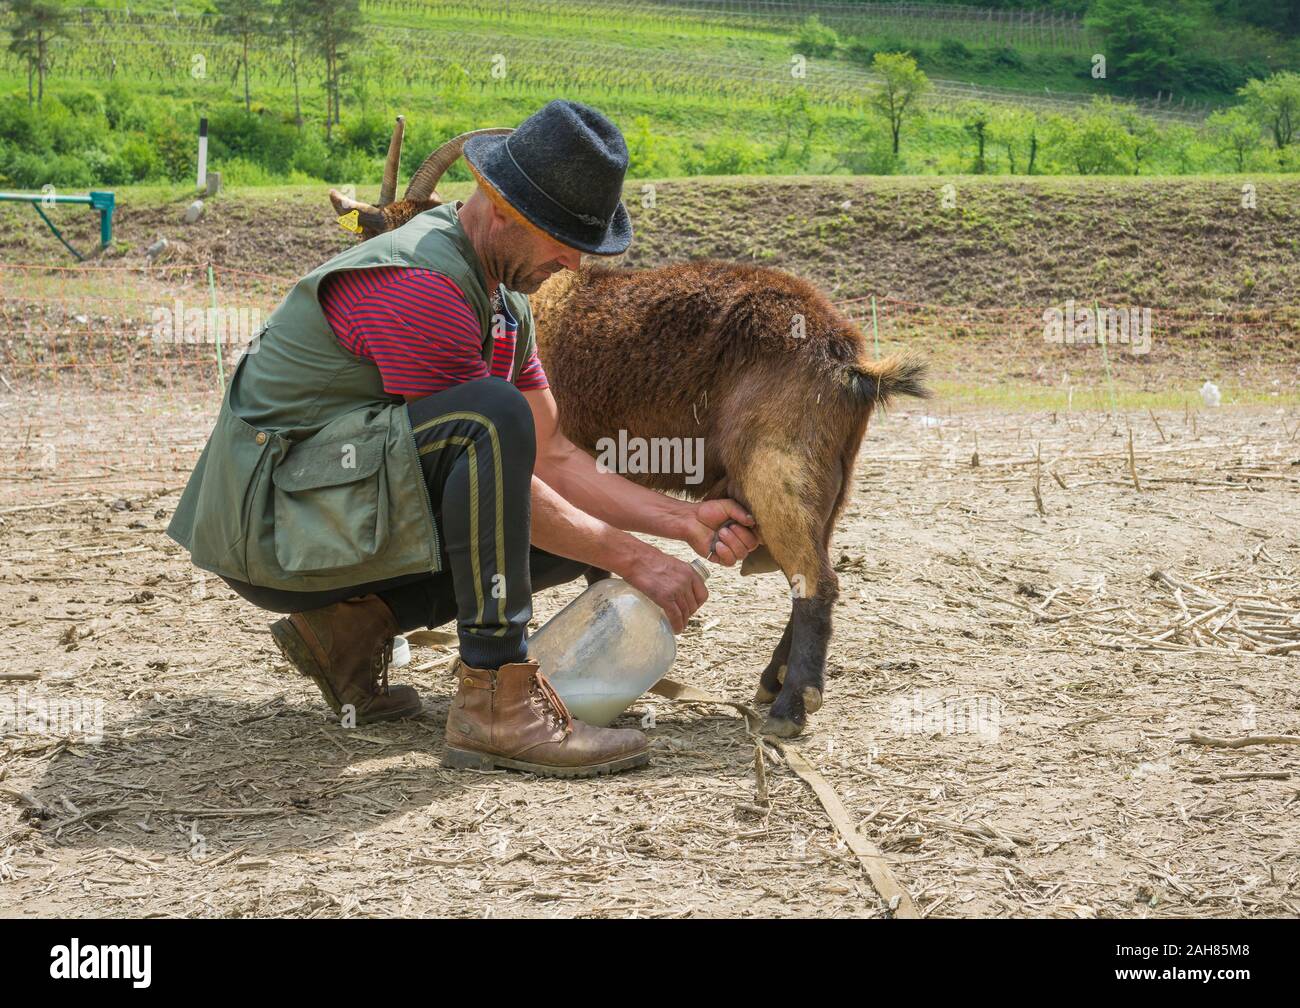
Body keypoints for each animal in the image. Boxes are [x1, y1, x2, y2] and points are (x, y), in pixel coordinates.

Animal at [327, 120, 930, 737]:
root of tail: (848, 360)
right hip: (828, 484)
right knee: (809, 573)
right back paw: (772, 683)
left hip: (781, 471)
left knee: (816, 582)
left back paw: (791, 705)